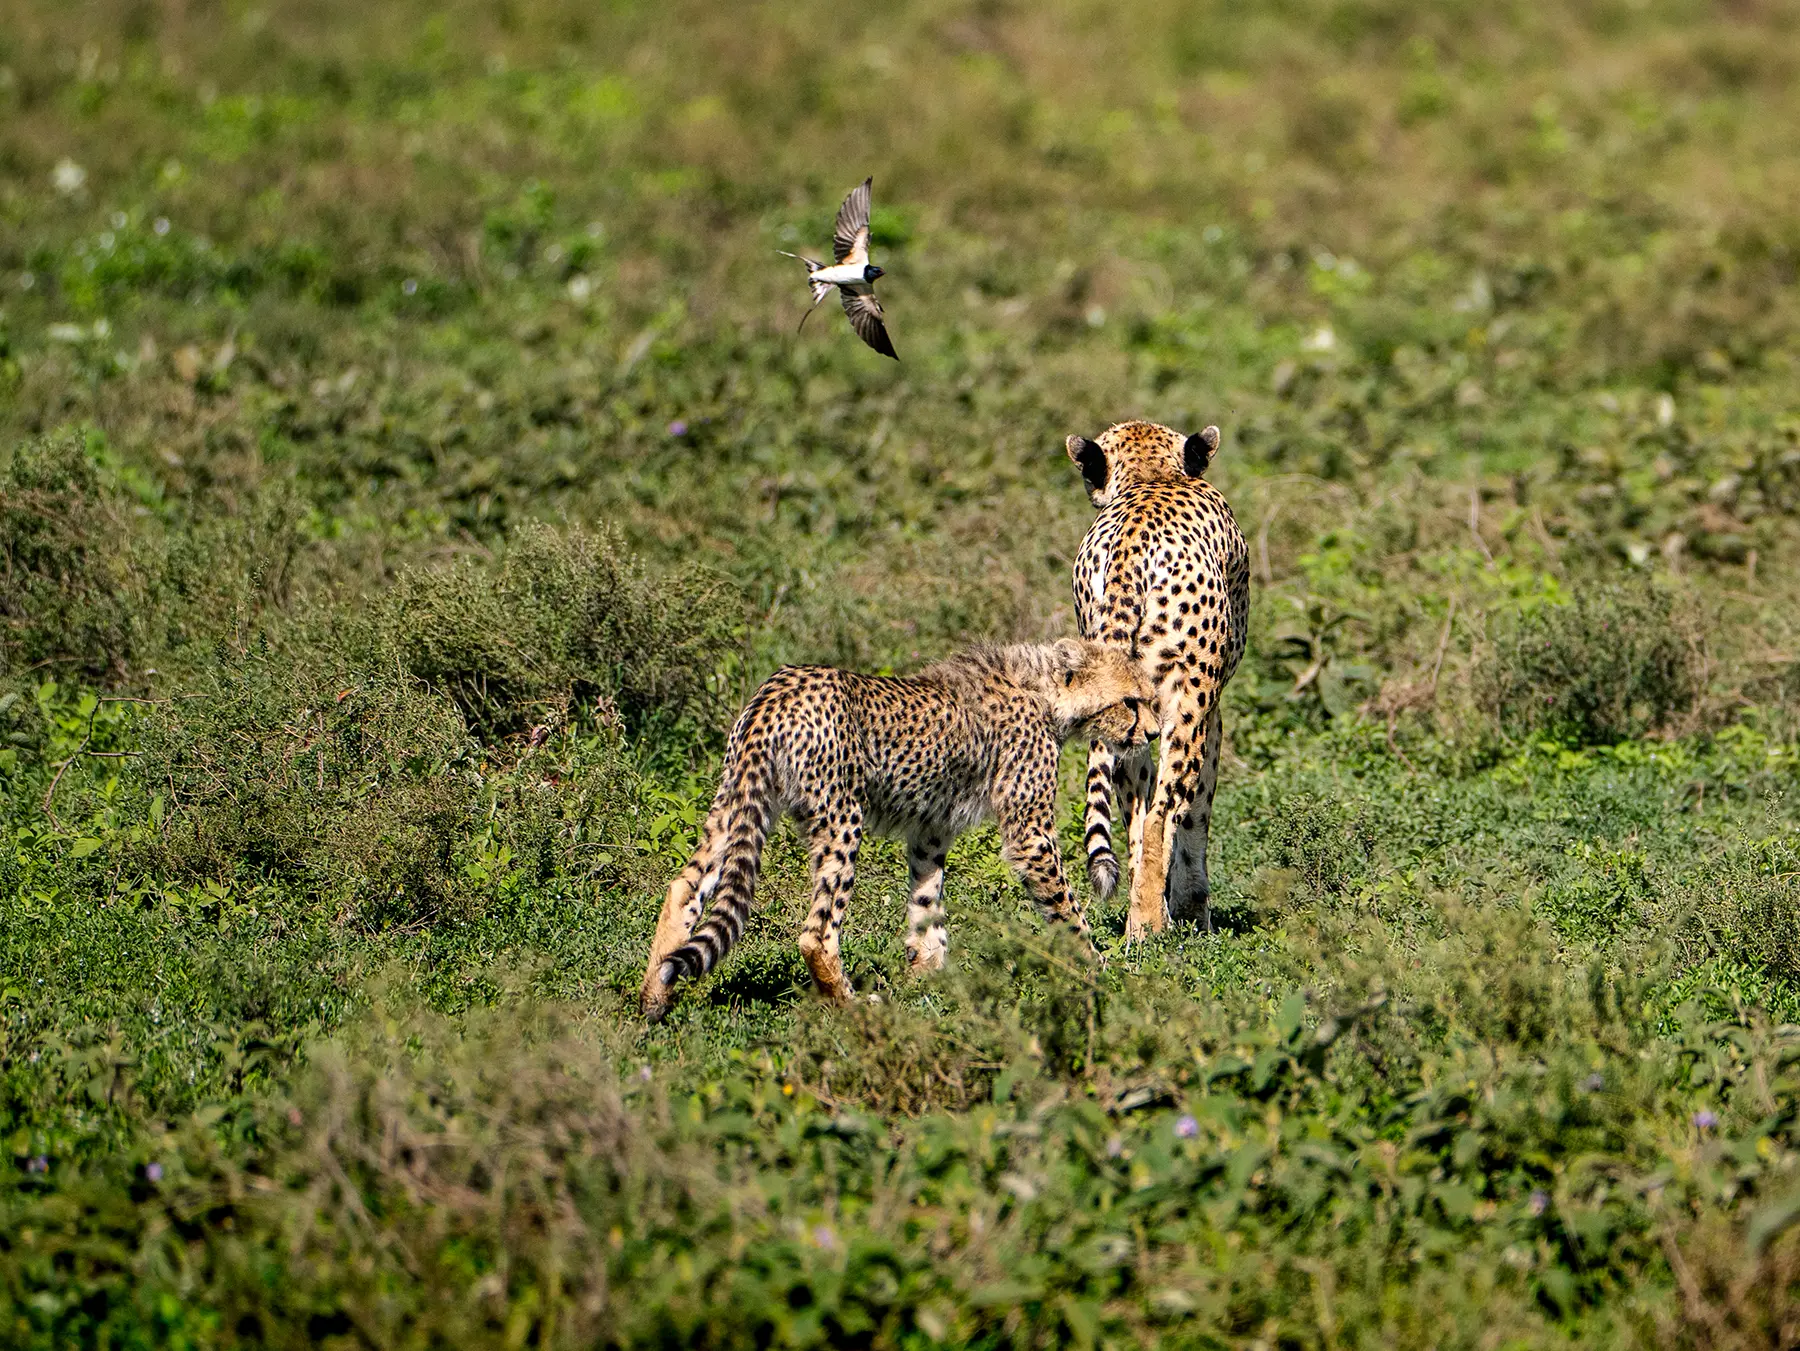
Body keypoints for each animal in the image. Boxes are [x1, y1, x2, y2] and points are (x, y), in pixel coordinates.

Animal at [639, 638, 1157, 1022]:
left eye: (1151, 700)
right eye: (1130, 702)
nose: (1153, 733)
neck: (1045, 690)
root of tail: (778, 687)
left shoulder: (931, 830)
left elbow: (927, 902)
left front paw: (929, 973)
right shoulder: (1030, 833)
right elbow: (1067, 909)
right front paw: (1099, 971)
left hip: (738, 801)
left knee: (684, 887)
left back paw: (652, 1000)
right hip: (841, 819)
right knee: (816, 932)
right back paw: (852, 1005)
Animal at [1065, 419, 1250, 938]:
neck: (1151, 477)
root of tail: (1133, 546)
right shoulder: (1210, 710)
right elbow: (1196, 810)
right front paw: (1191, 906)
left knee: (1135, 815)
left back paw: (1136, 921)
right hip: (1186, 704)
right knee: (1162, 812)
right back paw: (1150, 925)